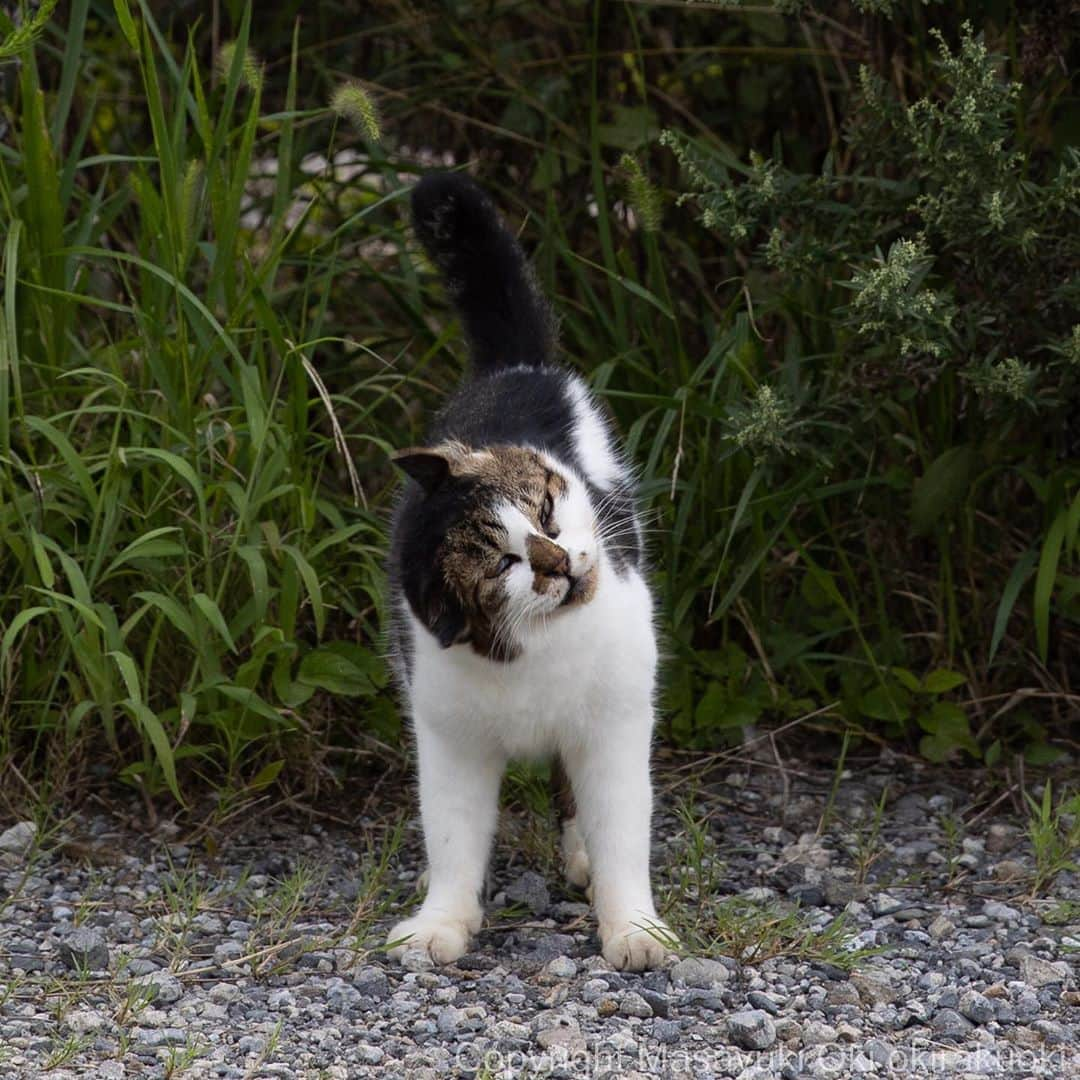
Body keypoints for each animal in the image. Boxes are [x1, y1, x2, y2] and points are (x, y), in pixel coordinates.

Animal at [386, 170, 673, 972]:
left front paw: (634, 929)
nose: (558, 561)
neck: (537, 659)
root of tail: (511, 369)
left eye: (545, 508)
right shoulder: (449, 737)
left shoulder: (614, 725)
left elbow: (622, 833)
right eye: (503, 565)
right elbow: (453, 838)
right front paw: (440, 923)